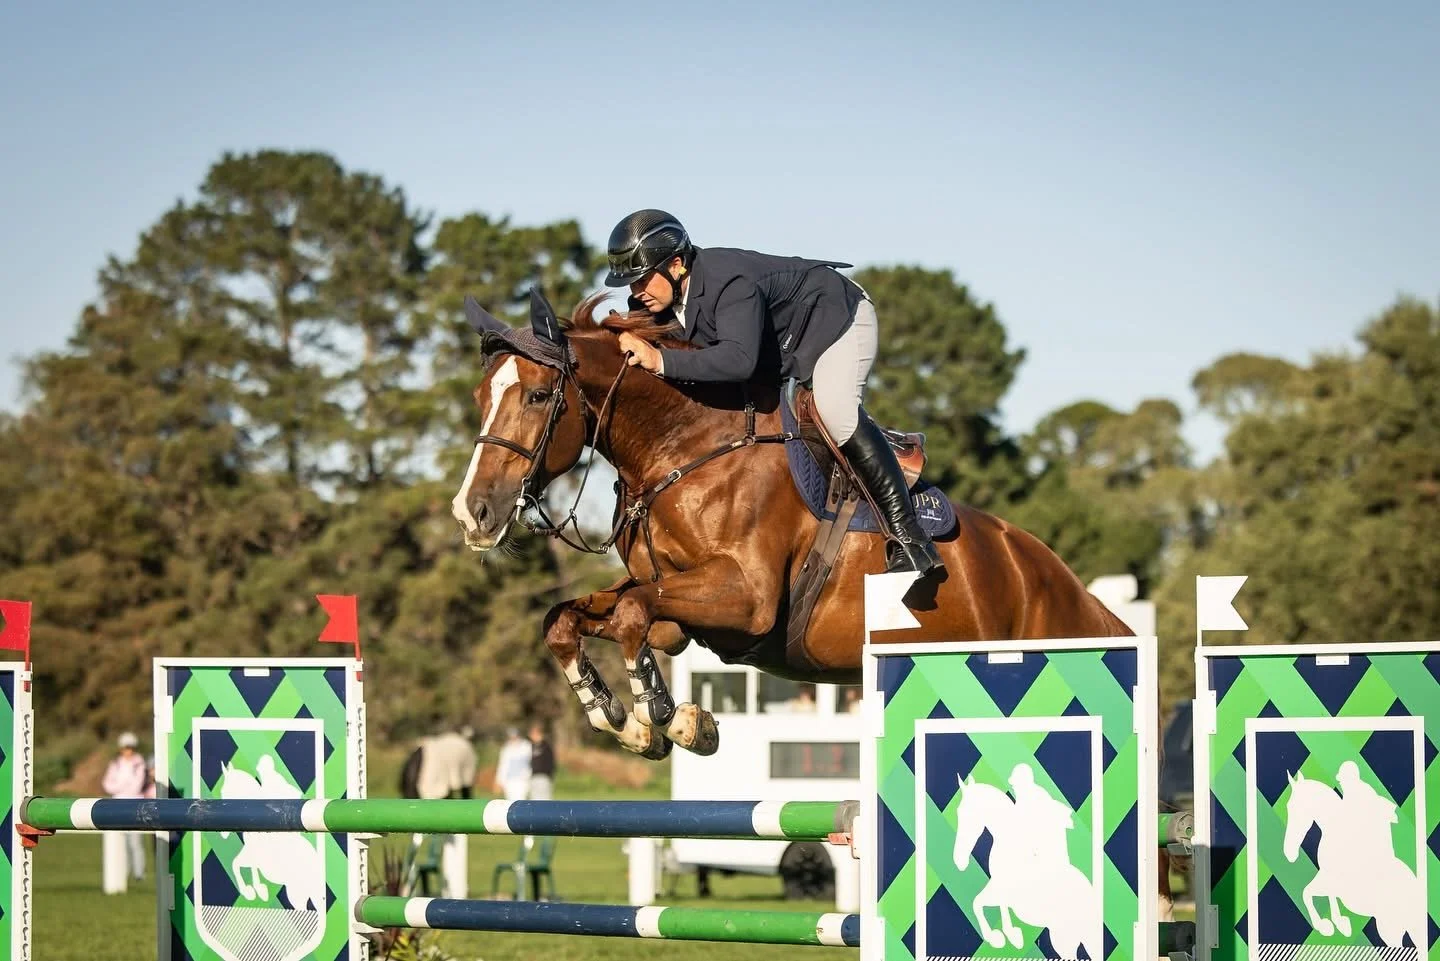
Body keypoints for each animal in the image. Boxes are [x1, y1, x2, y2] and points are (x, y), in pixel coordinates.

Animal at [449, 288, 1172, 905]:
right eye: (484, 394)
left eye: (540, 395)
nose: (473, 512)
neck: (683, 448)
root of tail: (1071, 588)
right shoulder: (678, 615)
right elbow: (569, 619)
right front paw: (625, 716)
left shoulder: (744, 600)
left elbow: (630, 615)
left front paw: (662, 718)